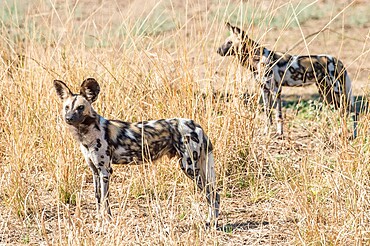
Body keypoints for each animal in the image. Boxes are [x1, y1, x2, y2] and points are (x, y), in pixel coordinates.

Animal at [52, 78, 220, 227]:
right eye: (67, 107)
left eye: (80, 107)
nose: (68, 118)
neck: (86, 134)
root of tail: (196, 125)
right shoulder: (95, 171)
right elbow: (98, 198)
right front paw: (99, 222)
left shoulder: (105, 171)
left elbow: (106, 201)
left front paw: (106, 223)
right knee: (213, 194)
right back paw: (211, 221)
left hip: (189, 168)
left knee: (213, 194)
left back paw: (211, 222)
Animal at [218, 22, 356, 138]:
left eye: (229, 42)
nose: (218, 50)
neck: (257, 58)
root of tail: (338, 61)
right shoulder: (265, 90)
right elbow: (267, 115)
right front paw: (266, 132)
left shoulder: (276, 90)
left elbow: (278, 115)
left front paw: (279, 133)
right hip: (326, 94)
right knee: (342, 113)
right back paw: (340, 132)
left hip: (337, 91)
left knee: (351, 112)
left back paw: (353, 135)